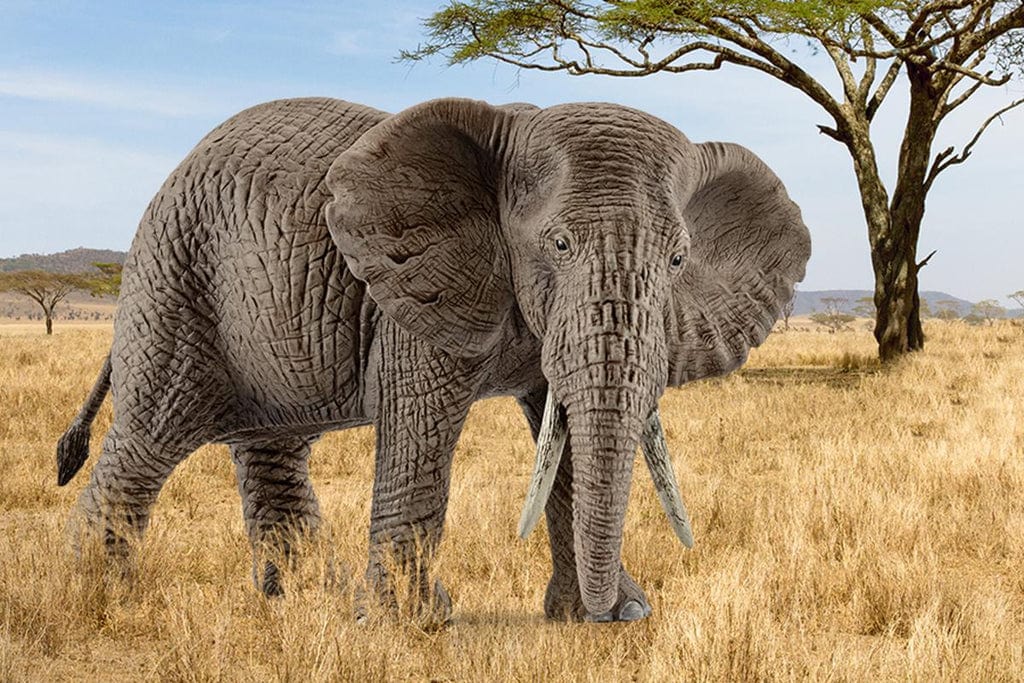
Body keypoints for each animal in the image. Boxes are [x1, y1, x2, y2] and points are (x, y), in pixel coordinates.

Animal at [56, 96, 810, 624]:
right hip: (176, 278)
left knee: (272, 450)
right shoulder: (414, 290)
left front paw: (608, 616)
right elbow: (421, 426)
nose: (619, 611)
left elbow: (561, 433)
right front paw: (411, 626)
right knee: (149, 437)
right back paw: (100, 602)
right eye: (559, 244)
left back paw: (303, 601)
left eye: (679, 260)